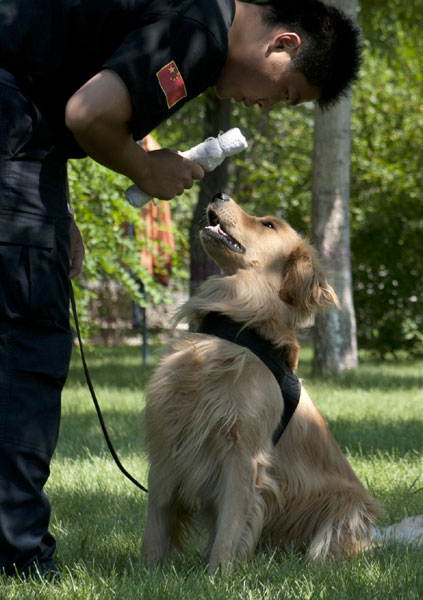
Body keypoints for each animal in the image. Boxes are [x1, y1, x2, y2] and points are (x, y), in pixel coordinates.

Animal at [142, 192, 380, 572]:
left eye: (268, 224)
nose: (219, 194)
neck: (237, 326)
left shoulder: (243, 453)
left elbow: (231, 525)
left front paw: (218, 574)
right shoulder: (167, 438)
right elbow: (156, 520)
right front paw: (147, 570)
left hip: (346, 505)